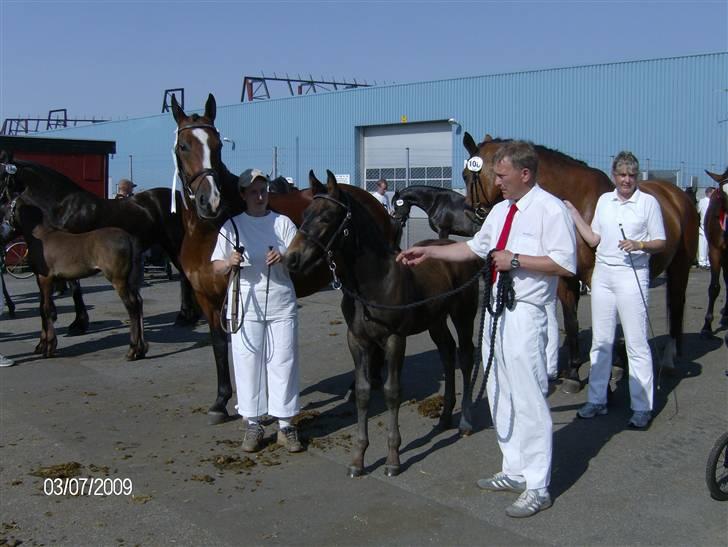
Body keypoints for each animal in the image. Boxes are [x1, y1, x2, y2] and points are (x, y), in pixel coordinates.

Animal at [0, 155, 198, 334]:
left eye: (1, 174)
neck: (63, 206)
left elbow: (75, 287)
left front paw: (78, 324)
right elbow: (73, 286)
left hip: (174, 244)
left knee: (184, 276)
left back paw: (185, 317)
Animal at [1, 196, 146, 360]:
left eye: (5, 210)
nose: (2, 238)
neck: (42, 237)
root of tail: (129, 238)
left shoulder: (46, 279)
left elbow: (46, 309)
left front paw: (49, 347)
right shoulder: (40, 279)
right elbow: (42, 309)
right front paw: (41, 345)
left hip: (118, 280)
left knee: (132, 306)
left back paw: (132, 350)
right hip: (130, 281)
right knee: (139, 302)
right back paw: (141, 350)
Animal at [168, 94, 396, 424]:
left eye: (218, 146)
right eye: (184, 145)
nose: (209, 201)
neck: (208, 231)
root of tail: (377, 205)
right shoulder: (206, 298)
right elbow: (219, 345)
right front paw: (220, 402)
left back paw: (362, 384)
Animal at [286, 171, 484, 480]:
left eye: (327, 217)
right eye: (305, 214)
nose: (291, 259)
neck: (373, 283)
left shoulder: (394, 339)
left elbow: (392, 392)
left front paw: (393, 458)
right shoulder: (357, 340)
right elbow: (363, 392)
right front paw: (358, 459)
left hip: (463, 313)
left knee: (464, 356)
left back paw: (464, 422)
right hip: (435, 320)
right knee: (446, 352)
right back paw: (443, 419)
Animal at [460, 133, 700, 392]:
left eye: (467, 175)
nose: (469, 214)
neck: (579, 204)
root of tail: (677, 195)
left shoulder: (595, 278)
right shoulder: (567, 278)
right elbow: (572, 323)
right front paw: (575, 373)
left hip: (680, 267)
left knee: (676, 305)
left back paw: (667, 360)